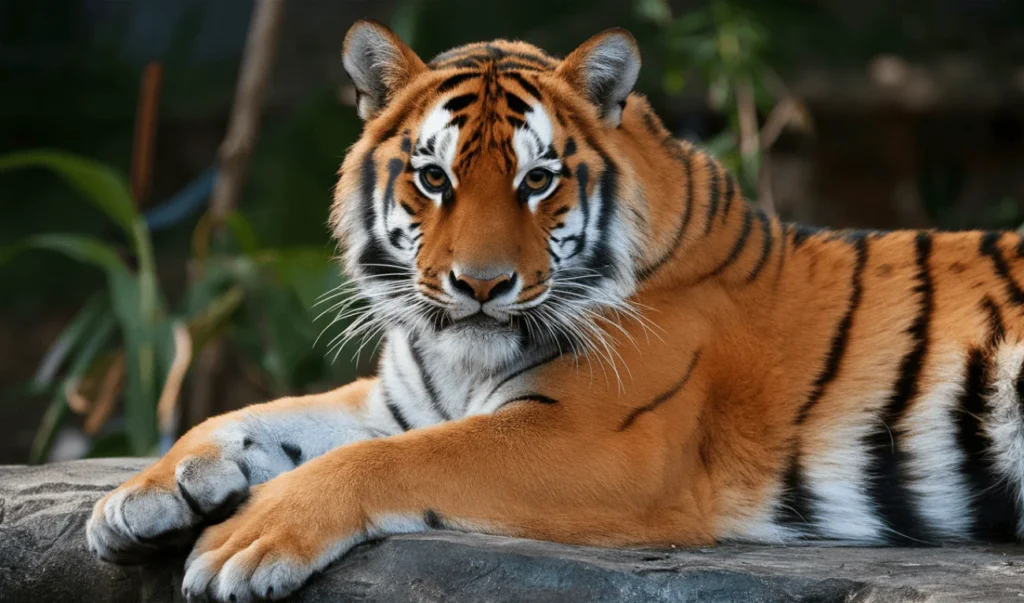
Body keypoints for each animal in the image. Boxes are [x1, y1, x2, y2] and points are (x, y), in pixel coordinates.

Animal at [86, 18, 1024, 601]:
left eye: (538, 180)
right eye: (435, 177)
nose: (481, 284)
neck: (457, 352)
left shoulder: (599, 438)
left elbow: (387, 461)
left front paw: (246, 540)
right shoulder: (400, 399)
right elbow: (258, 416)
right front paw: (138, 495)